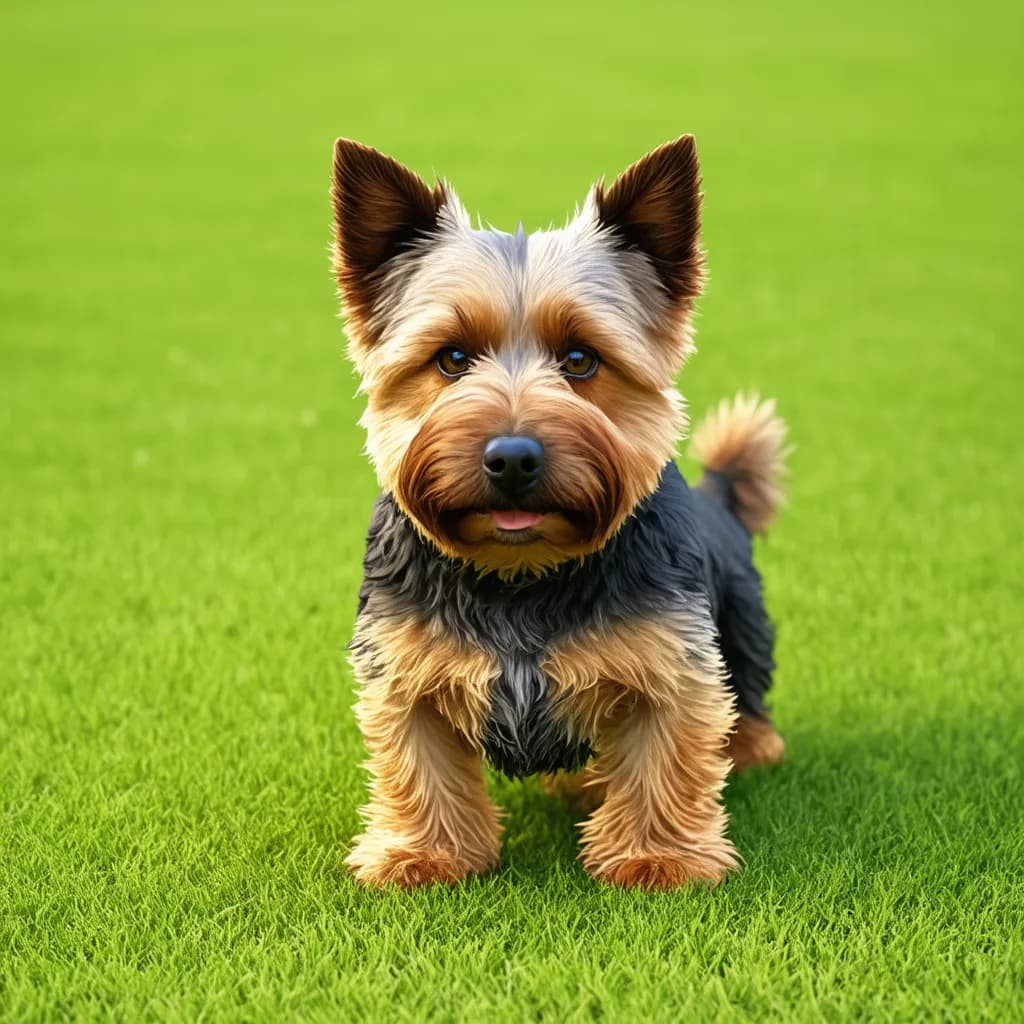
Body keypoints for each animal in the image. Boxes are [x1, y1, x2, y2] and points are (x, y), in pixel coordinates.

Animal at [331, 134, 786, 888]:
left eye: (580, 359)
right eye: (450, 358)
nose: (513, 458)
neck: (520, 573)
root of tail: (717, 490)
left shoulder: (671, 660)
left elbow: (665, 755)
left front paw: (657, 857)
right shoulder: (402, 664)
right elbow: (417, 763)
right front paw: (423, 854)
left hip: (743, 621)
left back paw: (750, 746)